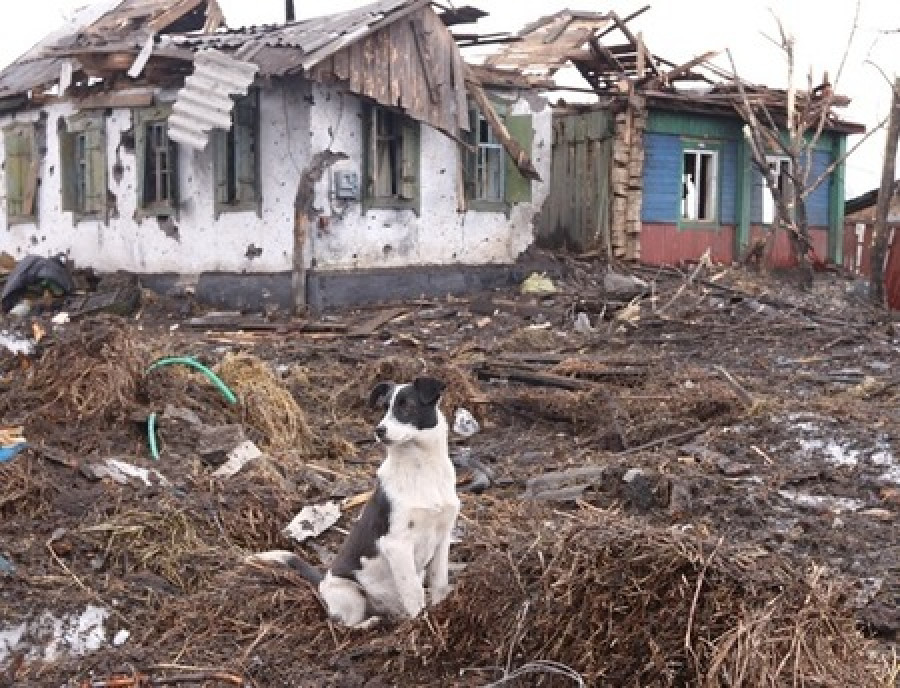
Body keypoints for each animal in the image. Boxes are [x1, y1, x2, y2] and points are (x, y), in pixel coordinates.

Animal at [248, 378, 460, 628]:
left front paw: (439, 613)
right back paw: (370, 623)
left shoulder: (442, 538)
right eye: (384, 407)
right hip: (350, 594)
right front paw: (421, 623)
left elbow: (439, 583)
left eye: (407, 406)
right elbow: (413, 591)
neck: (421, 469)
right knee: (344, 624)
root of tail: (323, 580)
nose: (379, 430)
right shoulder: (396, 544)